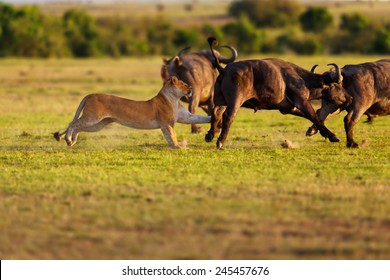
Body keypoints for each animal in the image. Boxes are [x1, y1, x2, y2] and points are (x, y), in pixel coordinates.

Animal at [204, 38, 342, 150]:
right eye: (336, 85)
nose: (347, 98)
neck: (301, 78)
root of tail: (224, 69)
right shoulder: (301, 102)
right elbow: (315, 117)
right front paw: (333, 136)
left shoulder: (289, 108)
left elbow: (313, 117)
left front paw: (318, 132)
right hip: (235, 102)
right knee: (228, 116)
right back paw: (220, 142)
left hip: (221, 101)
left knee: (215, 113)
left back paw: (210, 134)